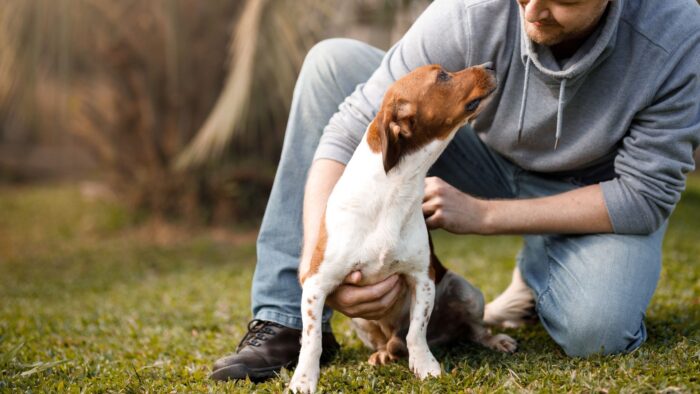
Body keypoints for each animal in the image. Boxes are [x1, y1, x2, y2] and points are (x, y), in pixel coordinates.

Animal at [290, 63, 516, 392]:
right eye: (442, 75)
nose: (490, 65)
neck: (393, 192)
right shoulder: (316, 286)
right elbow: (312, 340)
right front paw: (304, 378)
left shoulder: (422, 278)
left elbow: (416, 333)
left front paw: (425, 366)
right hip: (359, 320)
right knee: (386, 342)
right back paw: (383, 354)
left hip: (467, 292)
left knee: (472, 330)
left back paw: (493, 340)